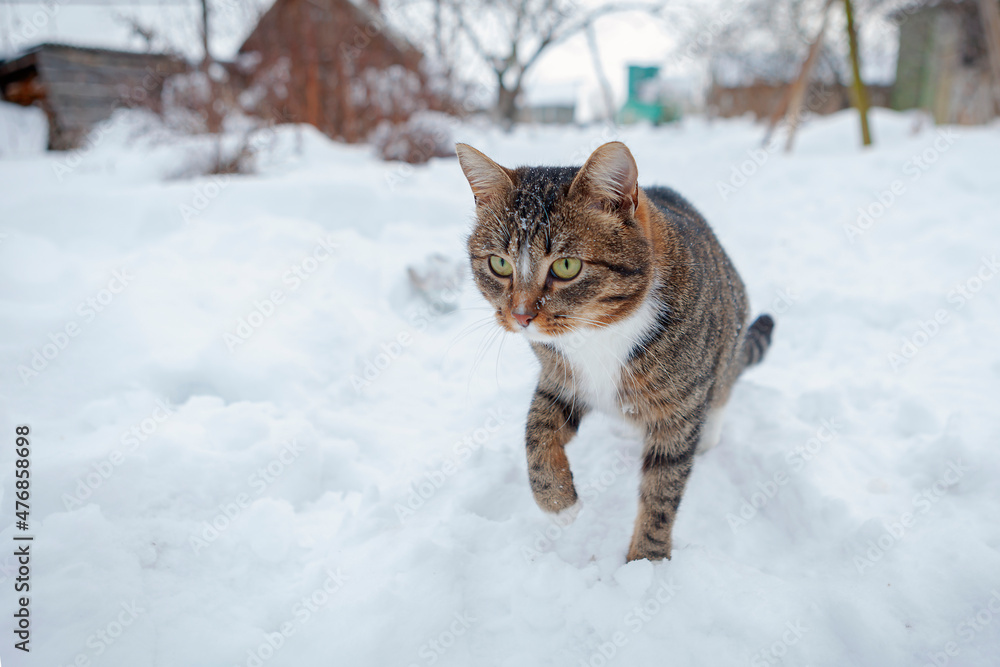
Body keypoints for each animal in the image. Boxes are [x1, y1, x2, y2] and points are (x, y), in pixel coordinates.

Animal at [454, 141, 772, 564]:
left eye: (566, 266)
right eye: (499, 263)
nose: (520, 316)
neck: (597, 332)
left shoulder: (678, 408)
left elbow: (661, 491)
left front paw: (646, 562)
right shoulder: (560, 376)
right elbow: (536, 430)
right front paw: (559, 504)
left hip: (726, 336)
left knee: (723, 383)